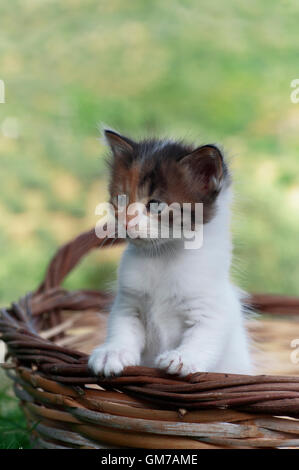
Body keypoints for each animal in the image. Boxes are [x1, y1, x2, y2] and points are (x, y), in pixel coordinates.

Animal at [89, 129, 253, 378]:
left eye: (155, 205)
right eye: (121, 199)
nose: (126, 222)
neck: (163, 256)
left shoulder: (212, 309)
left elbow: (203, 338)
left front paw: (183, 358)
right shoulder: (127, 304)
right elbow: (121, 329)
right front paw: (112, 352)